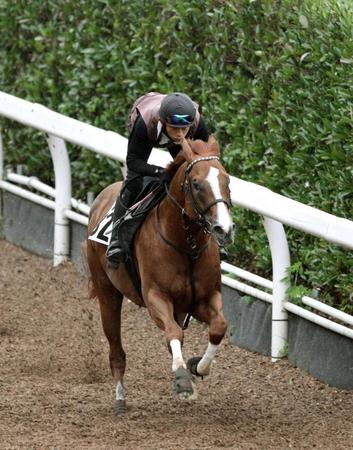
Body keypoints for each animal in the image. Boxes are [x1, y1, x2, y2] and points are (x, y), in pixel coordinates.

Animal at [85, 135, 234, 414]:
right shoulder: (156, 297)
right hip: (107, 292)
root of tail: (102, 196)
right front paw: (183, 378)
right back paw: (120, 398)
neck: (187, 246)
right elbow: (174, 333)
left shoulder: (203, 299)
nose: (224, 229)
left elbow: (218, 327)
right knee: (116, 350)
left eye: (227, 181)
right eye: (196, 184)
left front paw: (197, 367)